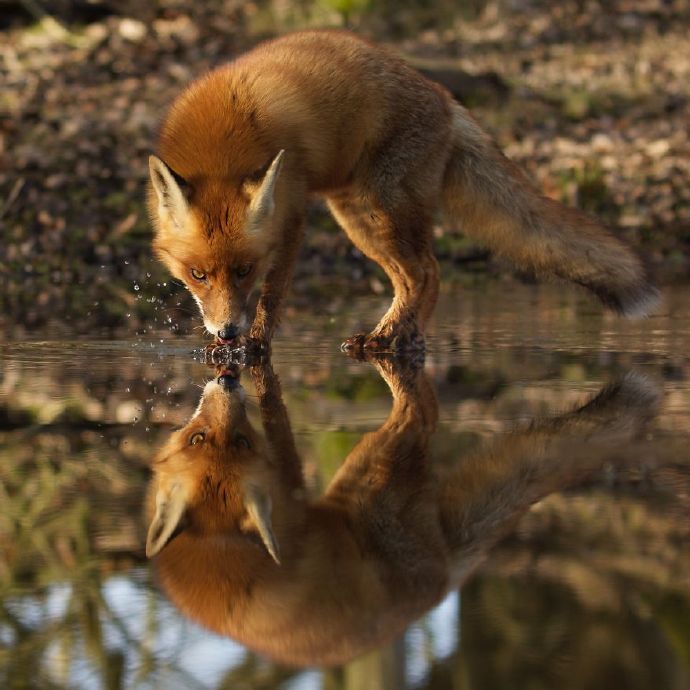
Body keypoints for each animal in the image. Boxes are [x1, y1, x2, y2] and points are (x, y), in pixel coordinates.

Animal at [144, 358, 656, 664]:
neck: (217, 547)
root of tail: (442, 584)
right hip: (375, 464)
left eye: (241, 442)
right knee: (420, 414)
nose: (228, 378)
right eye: (199, 438)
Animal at [149, 29, 656, 350]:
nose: (227, 332)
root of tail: (446, 99)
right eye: (197, 274)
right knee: (409, 278)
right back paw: (393, 334)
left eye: (244, 271)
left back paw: (397, 340)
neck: (222, 145)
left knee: (428, 272)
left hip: (382, 210)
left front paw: (254, 347)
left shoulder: (291, 218)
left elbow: (272, 297)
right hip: (357, 218)